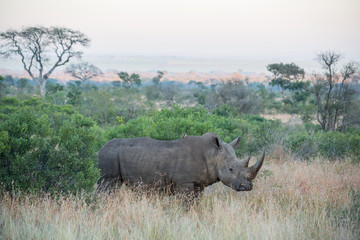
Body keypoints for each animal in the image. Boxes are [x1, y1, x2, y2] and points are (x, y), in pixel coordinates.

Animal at [96, 132, 264, 196]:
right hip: (108, 158)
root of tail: (99, 149)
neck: (212, 154)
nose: (247, 187)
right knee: (108, 186)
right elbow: (185, 204)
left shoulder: (198, 184)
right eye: (230, 169)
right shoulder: (185, 183)